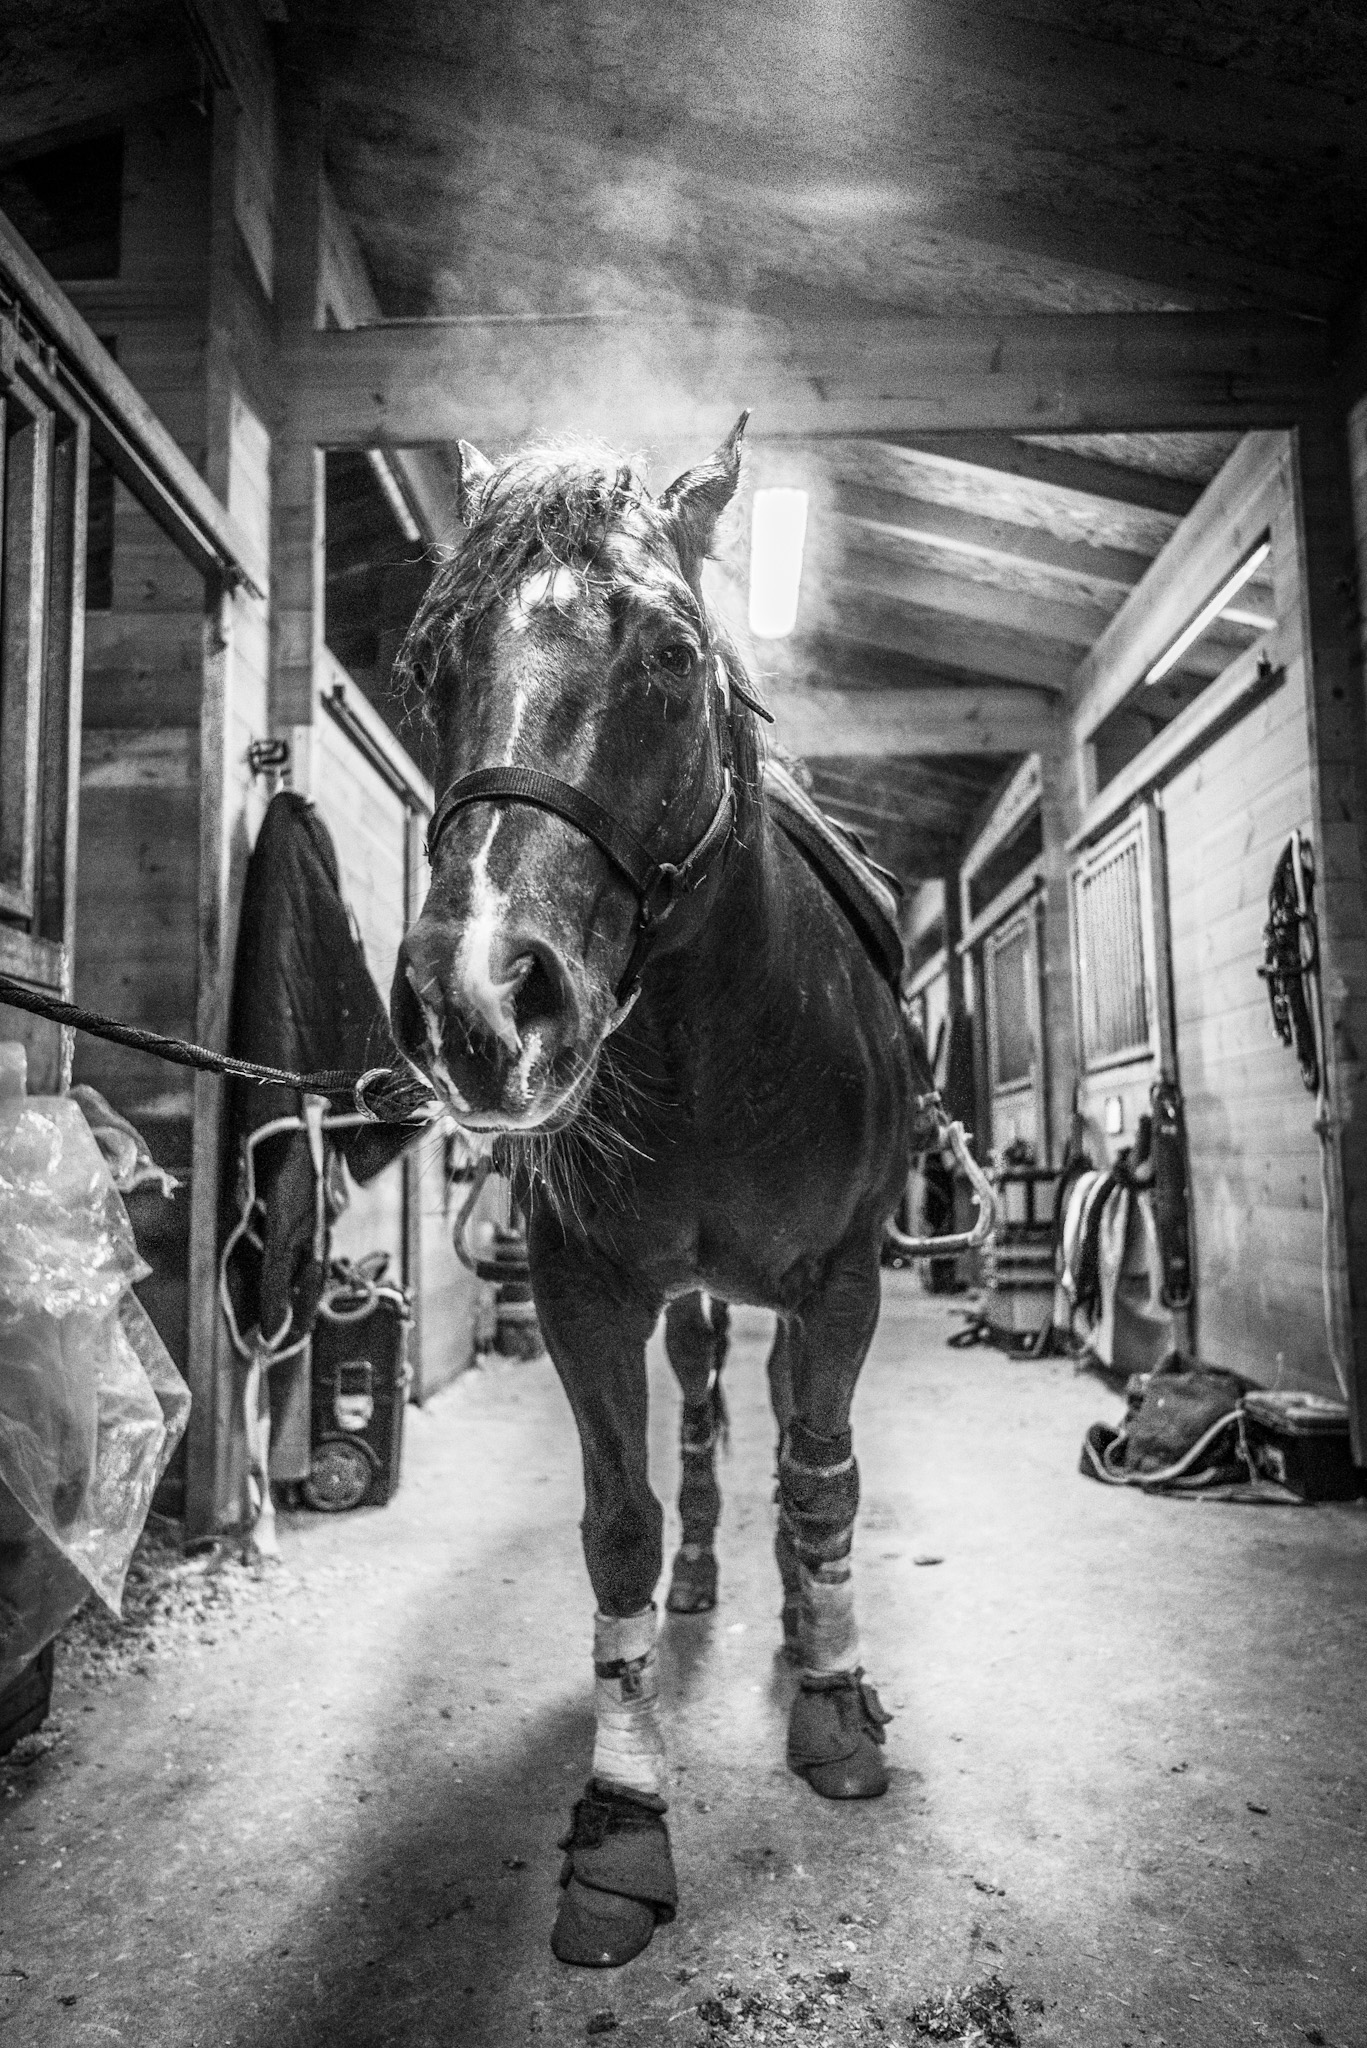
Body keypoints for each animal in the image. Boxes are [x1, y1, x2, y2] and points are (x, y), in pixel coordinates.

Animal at [390, 417, 944, 1970]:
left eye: (670, 652)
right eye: (423, 659)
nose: (476, 999)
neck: (716, 1039)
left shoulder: (838, 1282)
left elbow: (822, 1477)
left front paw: (833, 1701)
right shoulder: (586, 1295)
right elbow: (619, 1525)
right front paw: (622, 1816)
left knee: (791, 1440)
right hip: (691, 1303)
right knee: (702, 1414)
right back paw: (711, 1574)